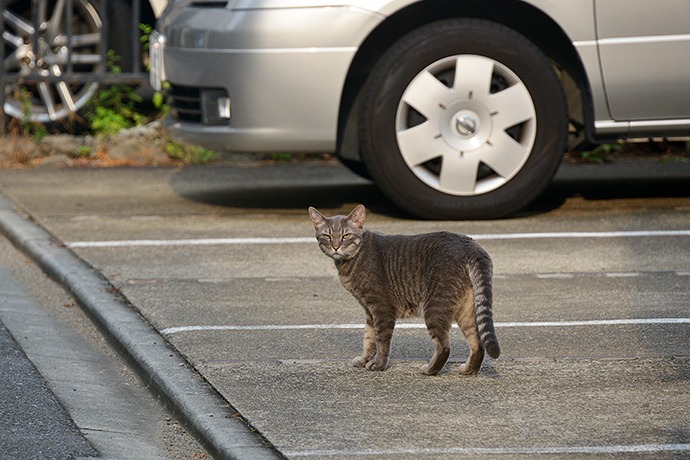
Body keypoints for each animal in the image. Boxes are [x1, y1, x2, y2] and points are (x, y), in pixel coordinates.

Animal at [310, 207, 498, 376]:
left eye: (346, 235)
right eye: (327, 236)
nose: (335, 247)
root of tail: (470, 245)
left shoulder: (381, 307)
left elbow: (381, 340)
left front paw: (379, 364)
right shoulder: (369, 311)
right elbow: (368, 339)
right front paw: (364, 359)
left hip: (435, 306)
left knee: (444, 346)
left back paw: (430, 370)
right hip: (466, 309)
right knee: (477, 343)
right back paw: (469, 370)